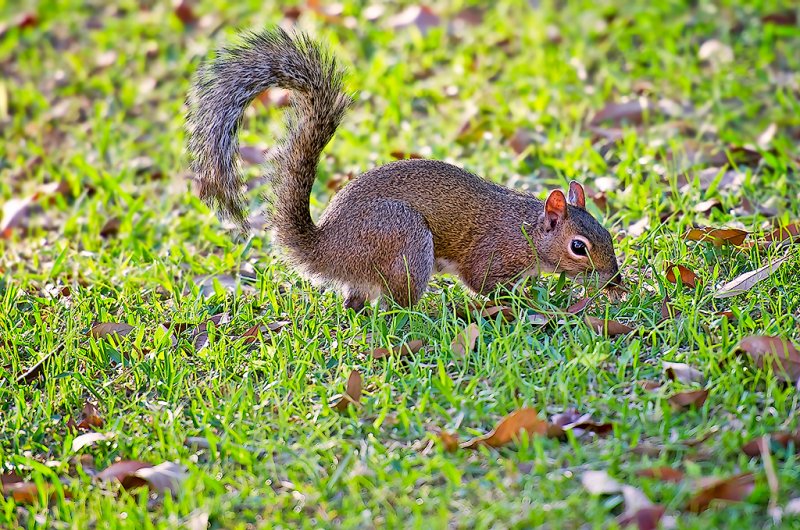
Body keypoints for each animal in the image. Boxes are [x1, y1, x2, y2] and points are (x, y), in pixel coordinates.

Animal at [186, 27, 620, 310]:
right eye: (578, 247)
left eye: (607, 234)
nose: (615, 280)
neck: (527, 230)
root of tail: (326, 248)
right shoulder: (492, 255)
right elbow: (483, 283)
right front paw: (528, 302)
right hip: (403, 236)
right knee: (398, 304)